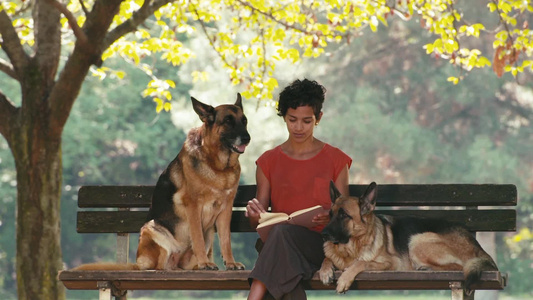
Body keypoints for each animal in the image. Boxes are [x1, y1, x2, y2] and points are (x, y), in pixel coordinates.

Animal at [76, 94, 250, 272]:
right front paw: (205, 263)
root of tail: (138, 265)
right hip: (152, 229)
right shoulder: (194, 206)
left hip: (208, 234)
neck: (219, 166)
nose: (247, 138)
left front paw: (230, 263)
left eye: (244, 121)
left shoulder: (226, 208)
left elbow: (226, 240)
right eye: (228, 121)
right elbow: (197, 239)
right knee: (160, 266)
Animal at [320, 182, 498, 294]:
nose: (323, 234)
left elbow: (362, 263)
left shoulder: (391, 263)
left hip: (418, 240)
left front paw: (344, 278)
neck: (351, 248)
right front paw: (325, 270)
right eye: (330, 214)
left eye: (344, 215)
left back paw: (426, 269)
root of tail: (478, 245)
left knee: (459, 266)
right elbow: (328, 258)